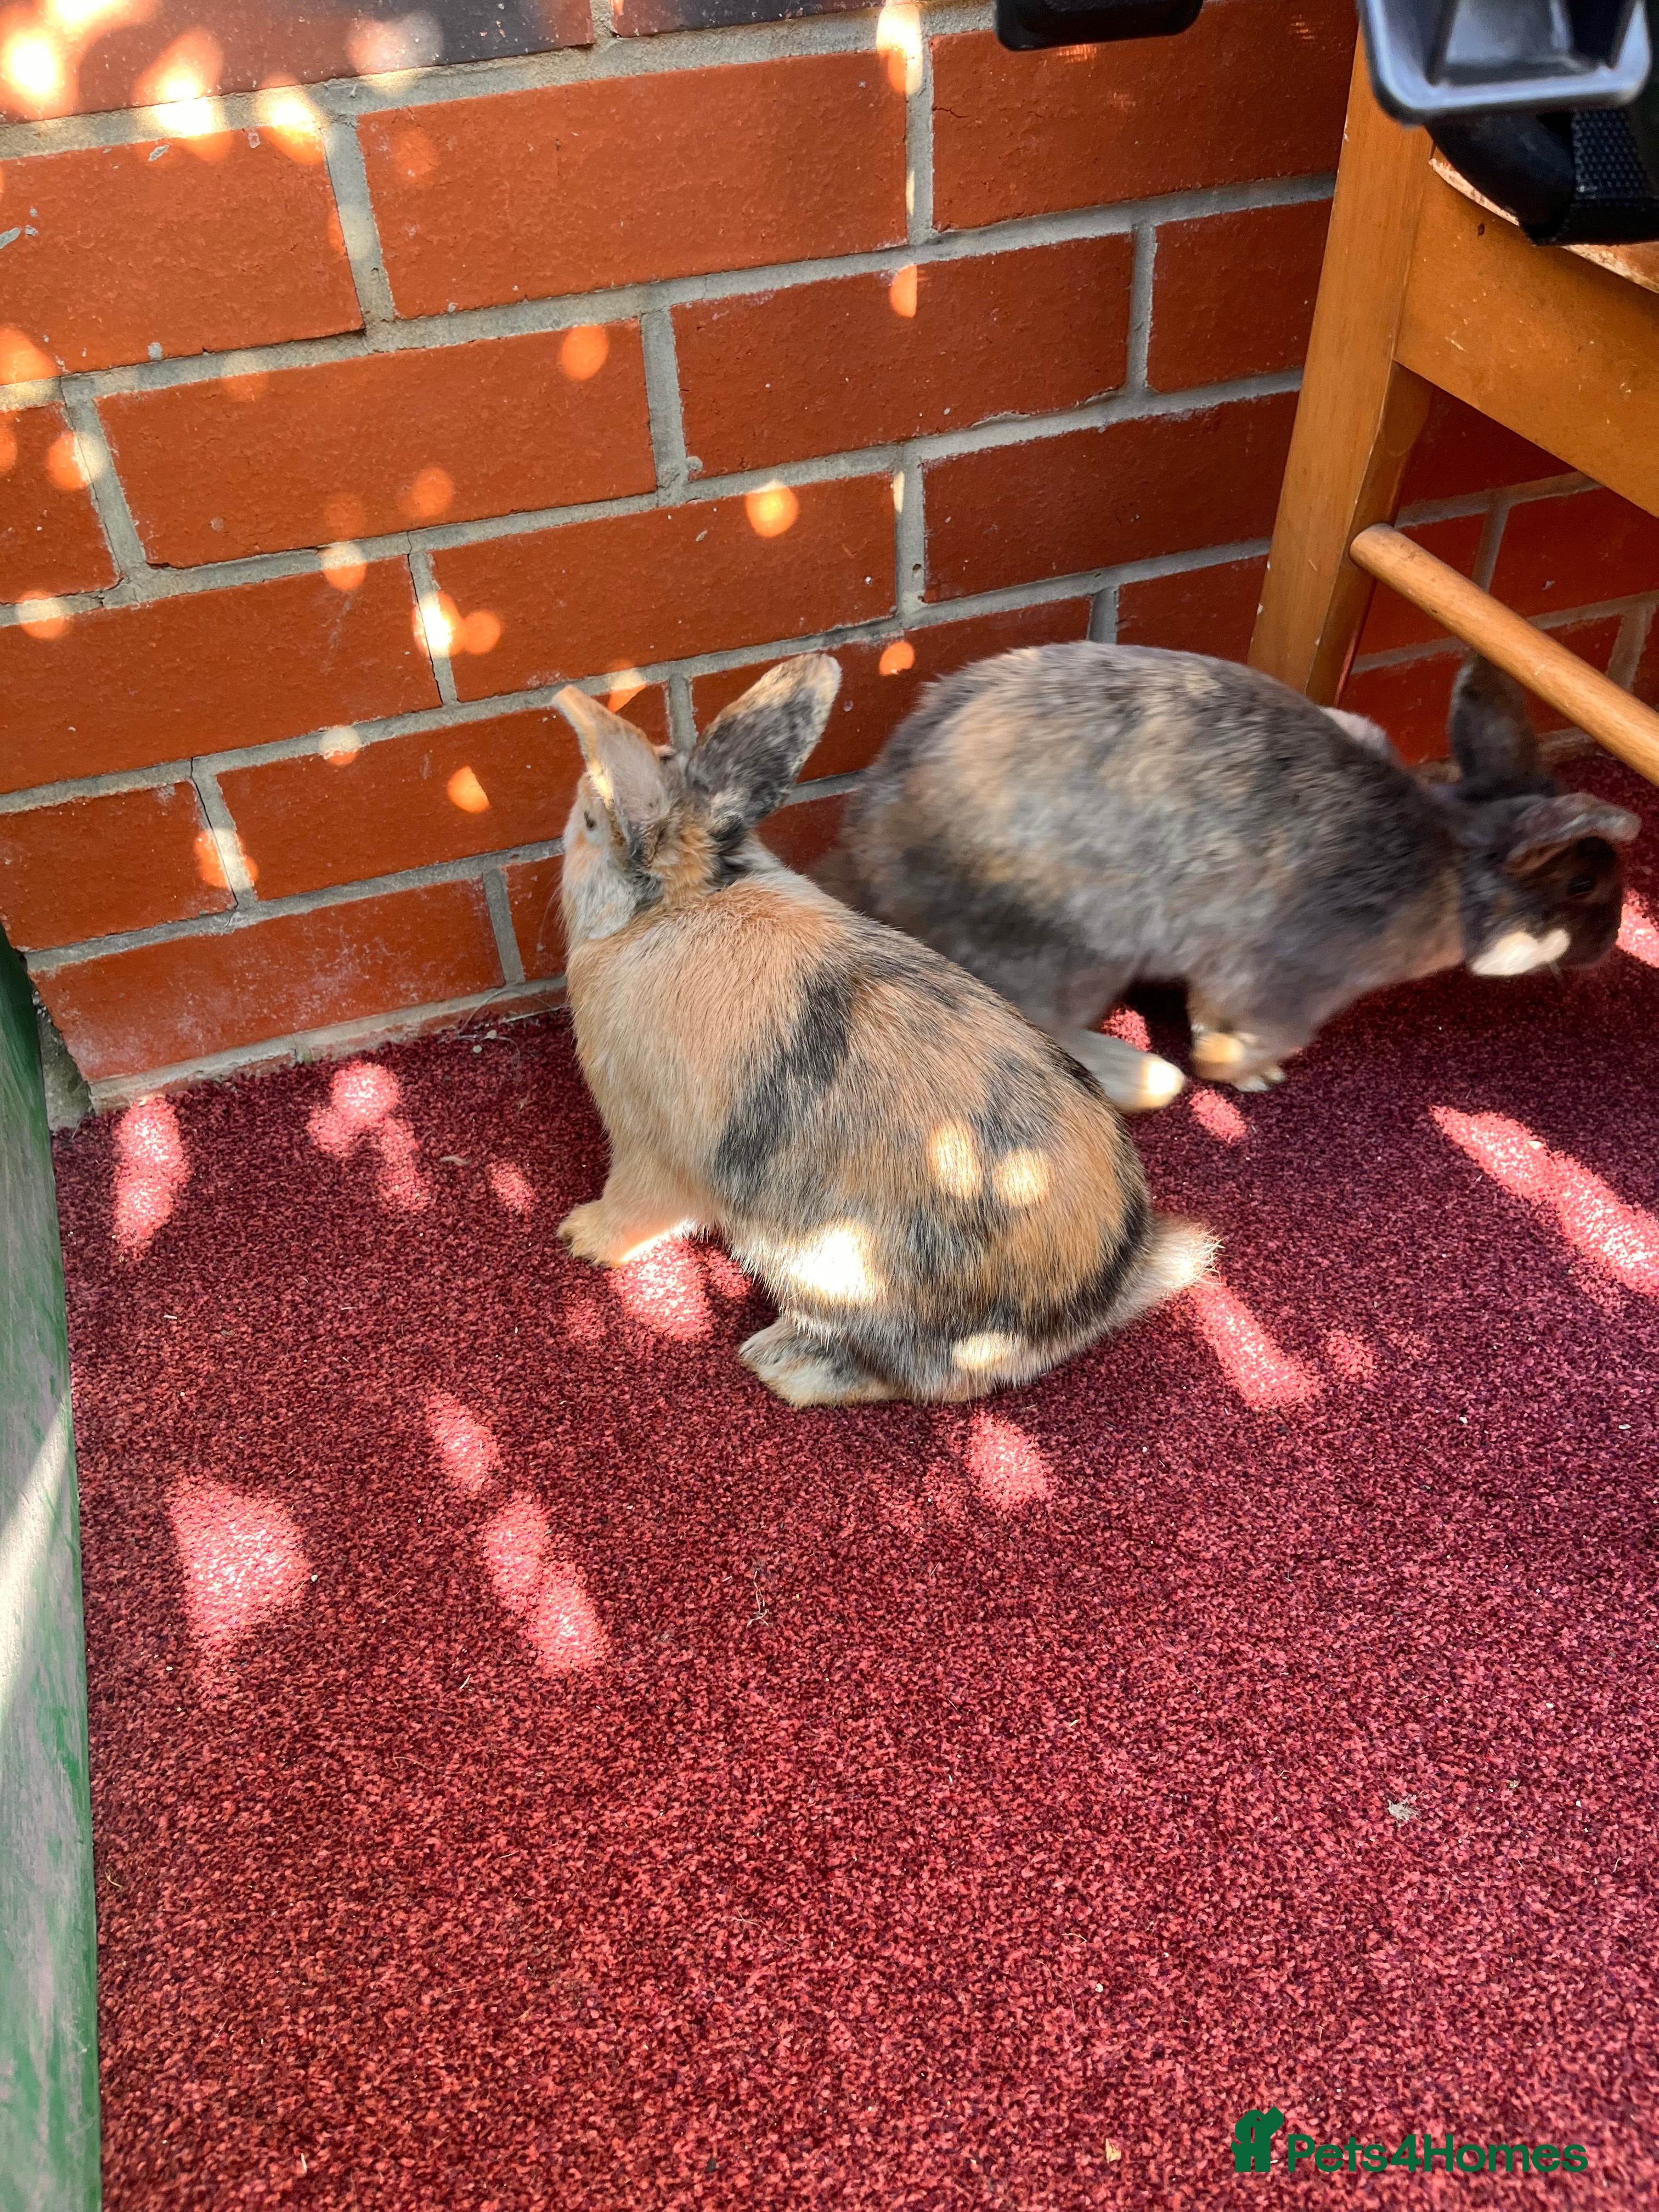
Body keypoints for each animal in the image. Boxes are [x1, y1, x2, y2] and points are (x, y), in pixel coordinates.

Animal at [551, 654, 1214, 1409]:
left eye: (590, 821)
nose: (572, 824)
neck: (681, 904)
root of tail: (1093, 1309)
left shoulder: (644, 1149)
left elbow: (633, 1210)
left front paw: (580, 1236)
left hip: (841, 1273)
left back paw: (781, 1366)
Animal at [823, 645, 1638, 1108]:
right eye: (1581, 887)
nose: (1610, 942)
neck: (1453, 871)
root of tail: (872, 840)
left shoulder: (1222, 967)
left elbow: (1209, 1008)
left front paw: (1231, 1059)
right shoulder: (1296, 975)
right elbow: (1266, 1032)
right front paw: (1240, 1069)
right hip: (1076, 951)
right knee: (1036, 1021)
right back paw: (1143, 1080)